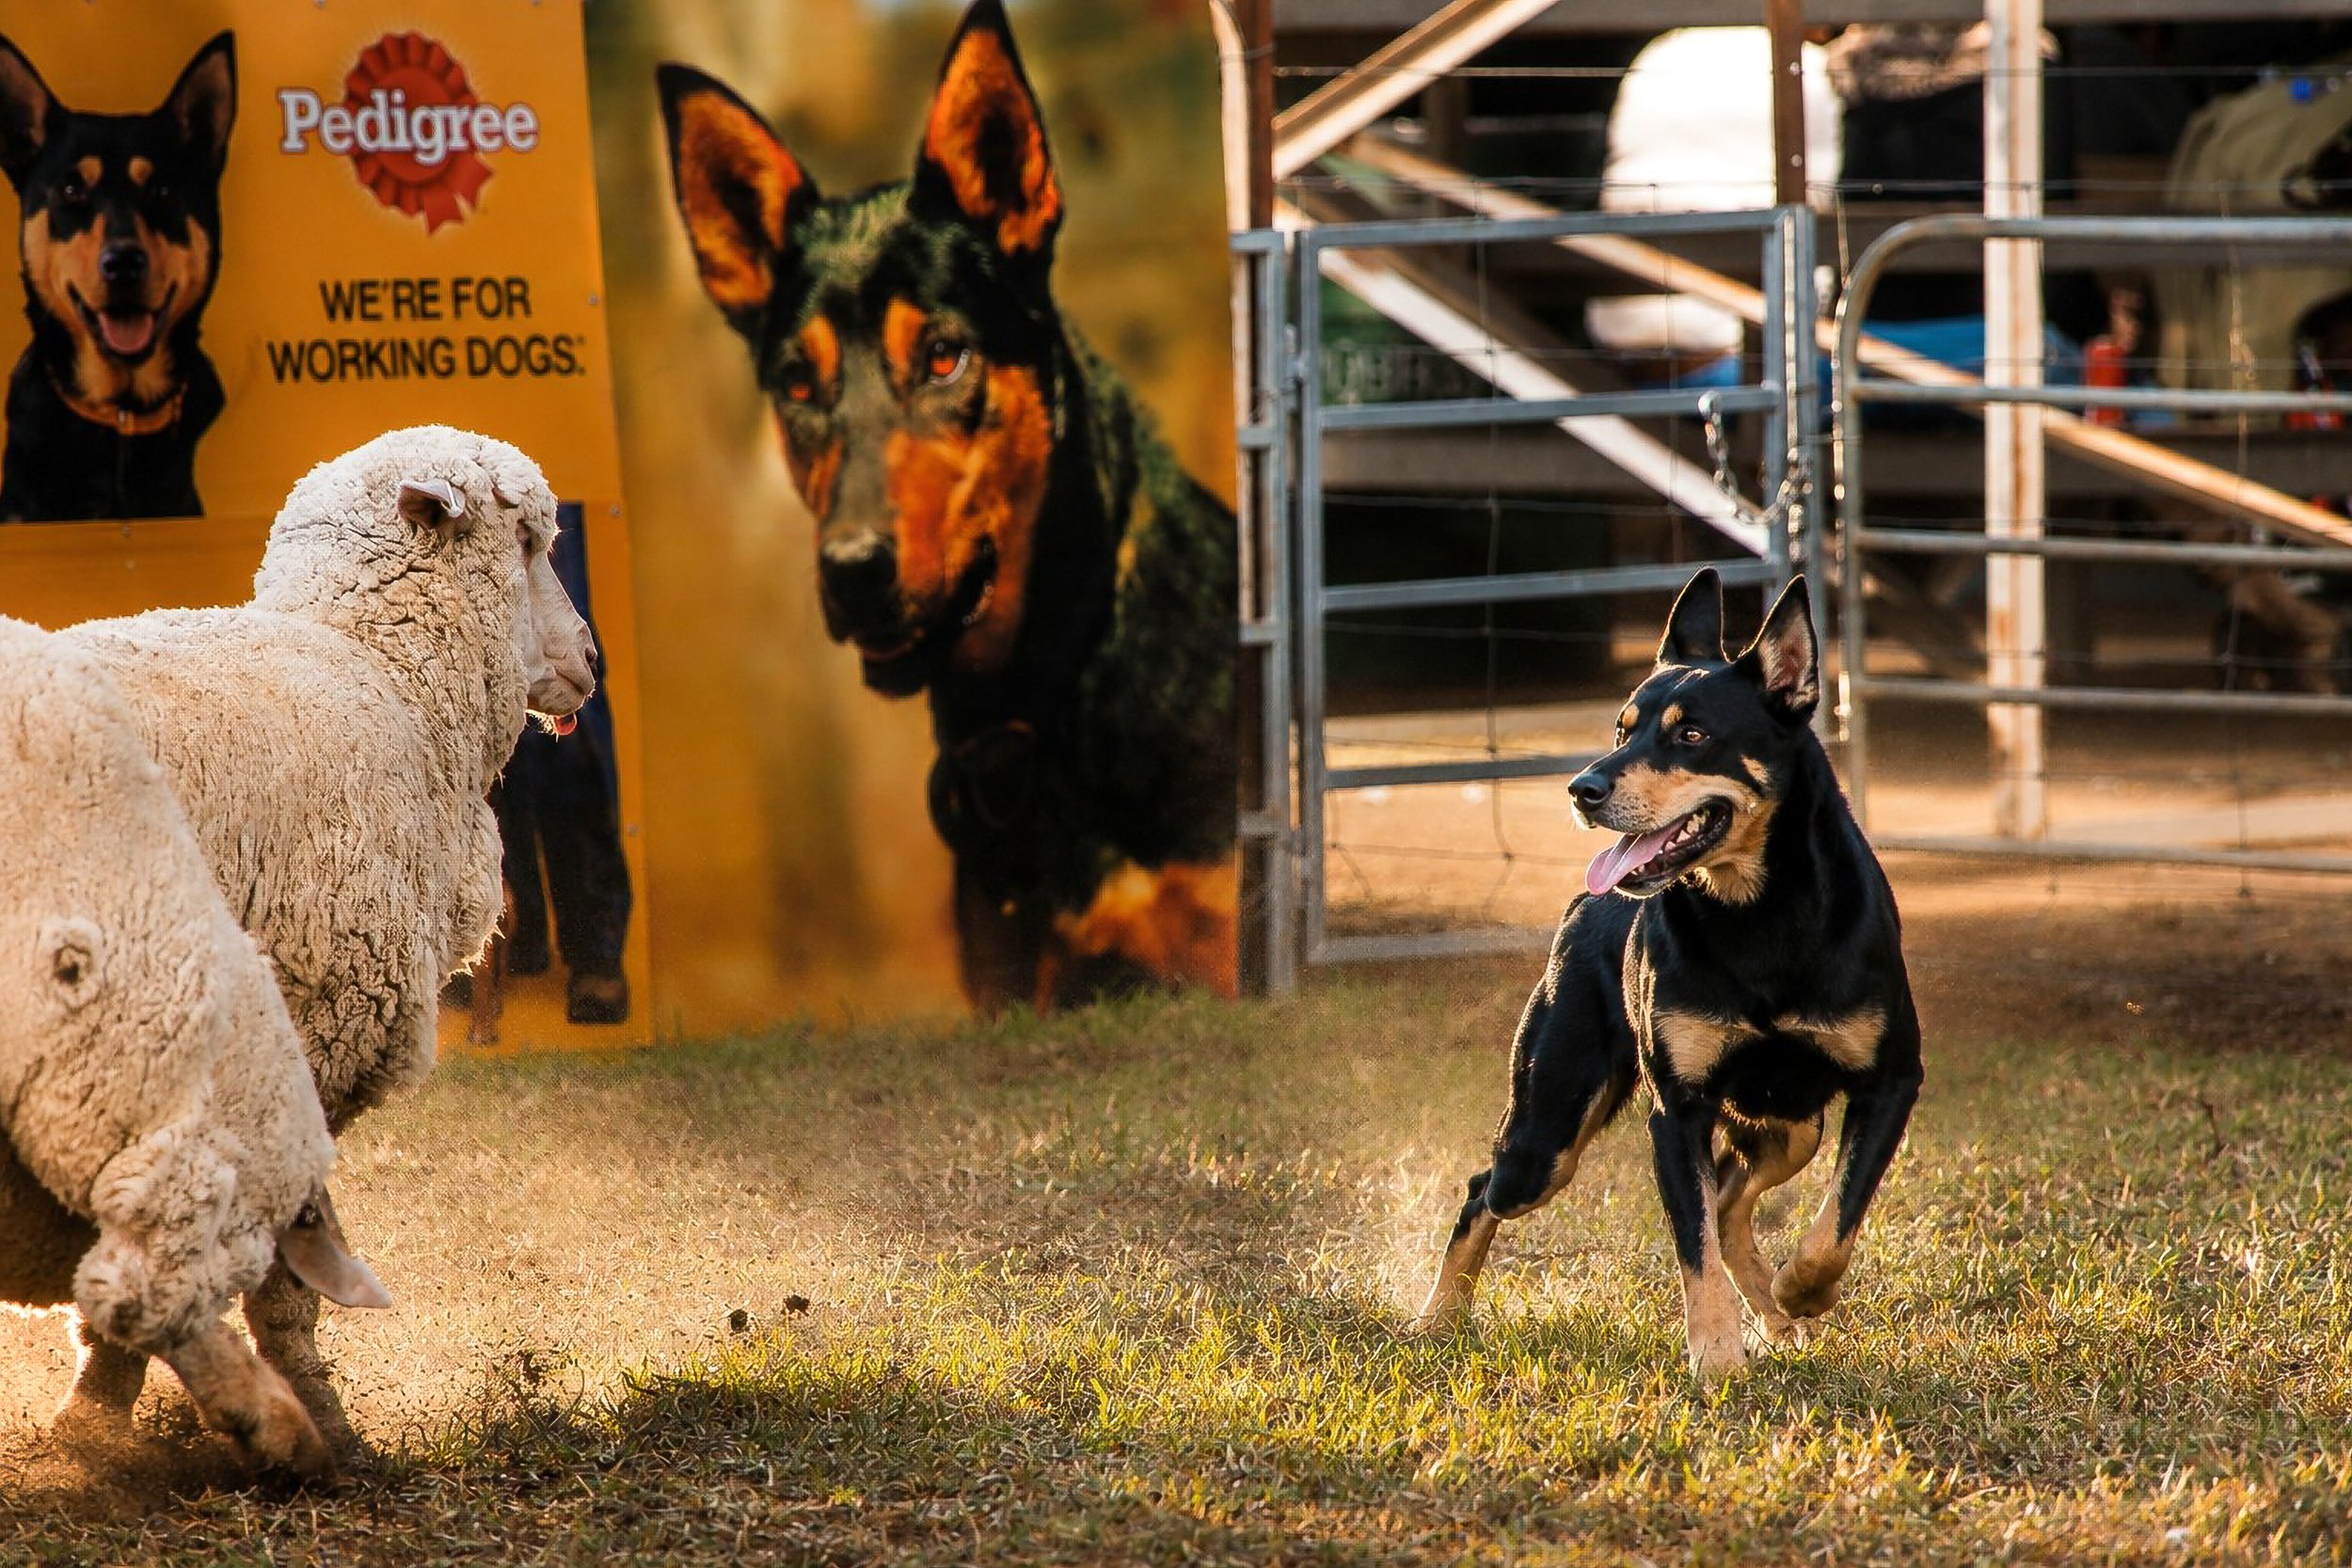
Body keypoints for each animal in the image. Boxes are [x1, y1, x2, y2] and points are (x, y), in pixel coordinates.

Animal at [43, 425, 595, 1457]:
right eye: (531, 539)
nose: (590, 657)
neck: (386, 677)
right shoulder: (310, 1026)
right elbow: (279, 1271)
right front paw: (316, 1423)